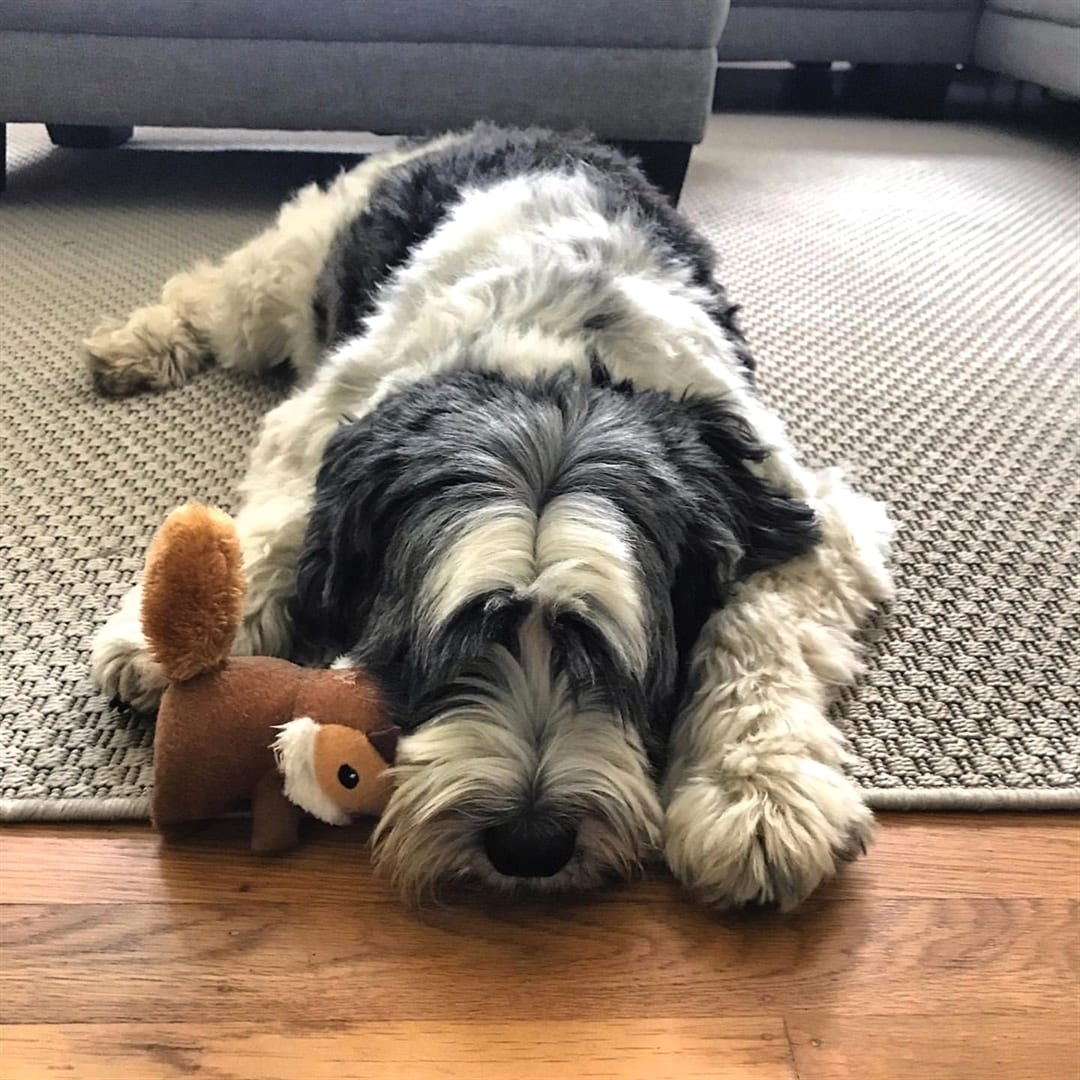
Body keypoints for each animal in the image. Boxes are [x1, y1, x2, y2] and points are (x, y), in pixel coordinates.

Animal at [86, 122, 894, 907]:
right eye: (448, 645)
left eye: (606, 655)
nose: (530, 846)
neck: (555, 373)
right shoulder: (324, 424)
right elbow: (280, 522)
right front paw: (170, 630)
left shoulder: (796, 511)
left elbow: (756, 637)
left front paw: (758, 793)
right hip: (287, 278)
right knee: (210, 290)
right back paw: (134, 346)